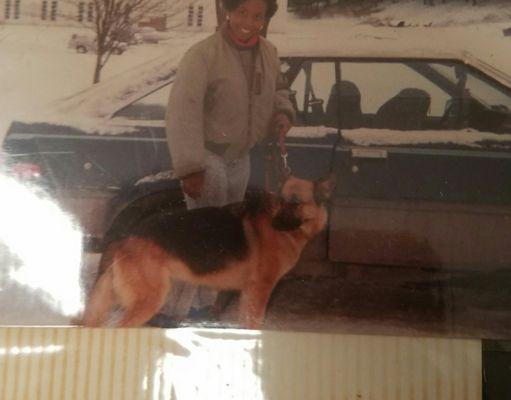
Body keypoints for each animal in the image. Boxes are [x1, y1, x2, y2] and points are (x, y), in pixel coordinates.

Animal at [83, 175, 336, 328]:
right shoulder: (260, 291)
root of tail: (125, 237)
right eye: (280, 201)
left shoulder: (249, 293)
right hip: (150, 299)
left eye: (294, 202)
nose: (275, 224)